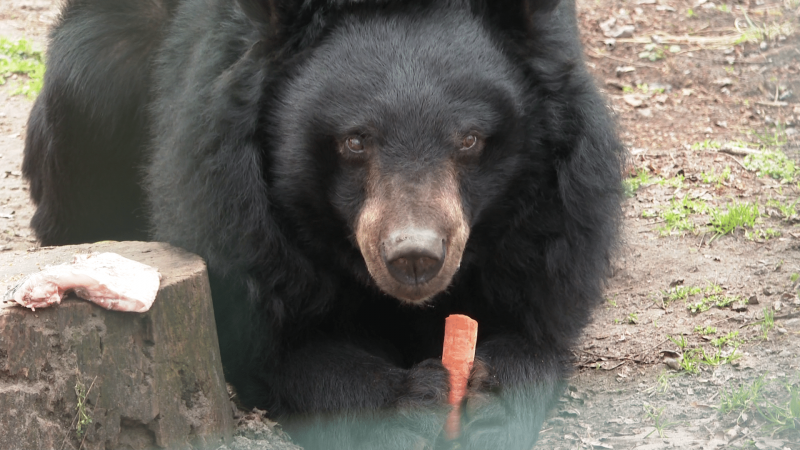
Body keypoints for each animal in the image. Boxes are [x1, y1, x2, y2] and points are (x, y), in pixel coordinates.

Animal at [21, 1, 624, 448]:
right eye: (355, 140)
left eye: (470, 140)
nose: (415, 258)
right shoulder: (230, 198)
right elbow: (281, 343)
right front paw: (409, 402)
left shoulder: (555, 212)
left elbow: (536, 320)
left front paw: (489, 401)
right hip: (98, 69)